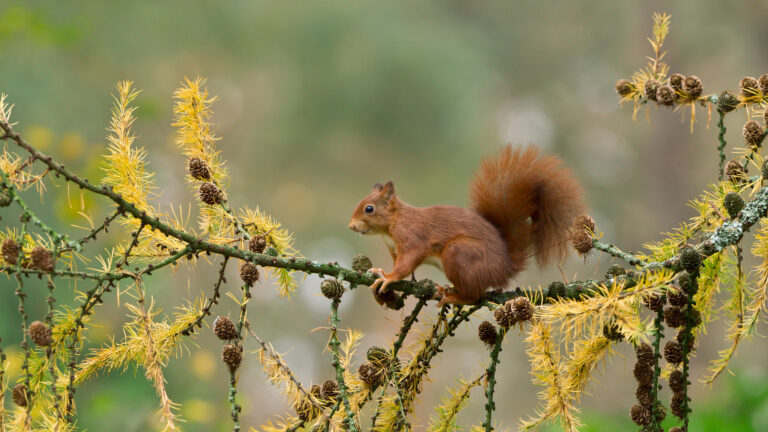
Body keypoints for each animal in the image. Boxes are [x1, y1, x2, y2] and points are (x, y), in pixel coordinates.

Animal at [348, 145, 584, 306]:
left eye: (369, 209)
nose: (351, 226)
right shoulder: (393, 248)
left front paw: (388, 277)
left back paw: (455, 297)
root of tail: (505, 268)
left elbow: (407, 262)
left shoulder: (412, 237)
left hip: (459, 252)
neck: (392, 225)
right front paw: (381, 270)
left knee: (474, 296)